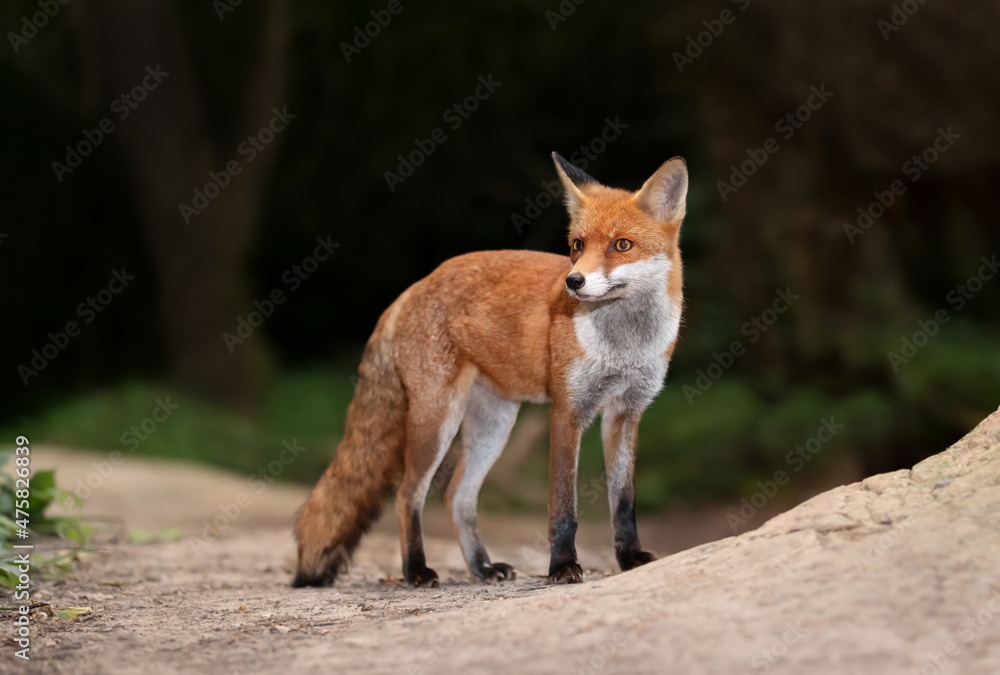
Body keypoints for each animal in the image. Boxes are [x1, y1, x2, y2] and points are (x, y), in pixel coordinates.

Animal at [293, 152, 688, 587]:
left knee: (457, 497)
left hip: (493, 425)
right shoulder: (567, 411)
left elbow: (624, 500)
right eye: (577, 245)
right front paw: (562, 566)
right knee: (408, 494)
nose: (573, 282)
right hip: (438, 419)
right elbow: (563, 507)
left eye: (622, 245)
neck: (624, 347)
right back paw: (416, 570)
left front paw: (630, 558)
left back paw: (482, 567)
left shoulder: (626, 413)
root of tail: (414, 286)